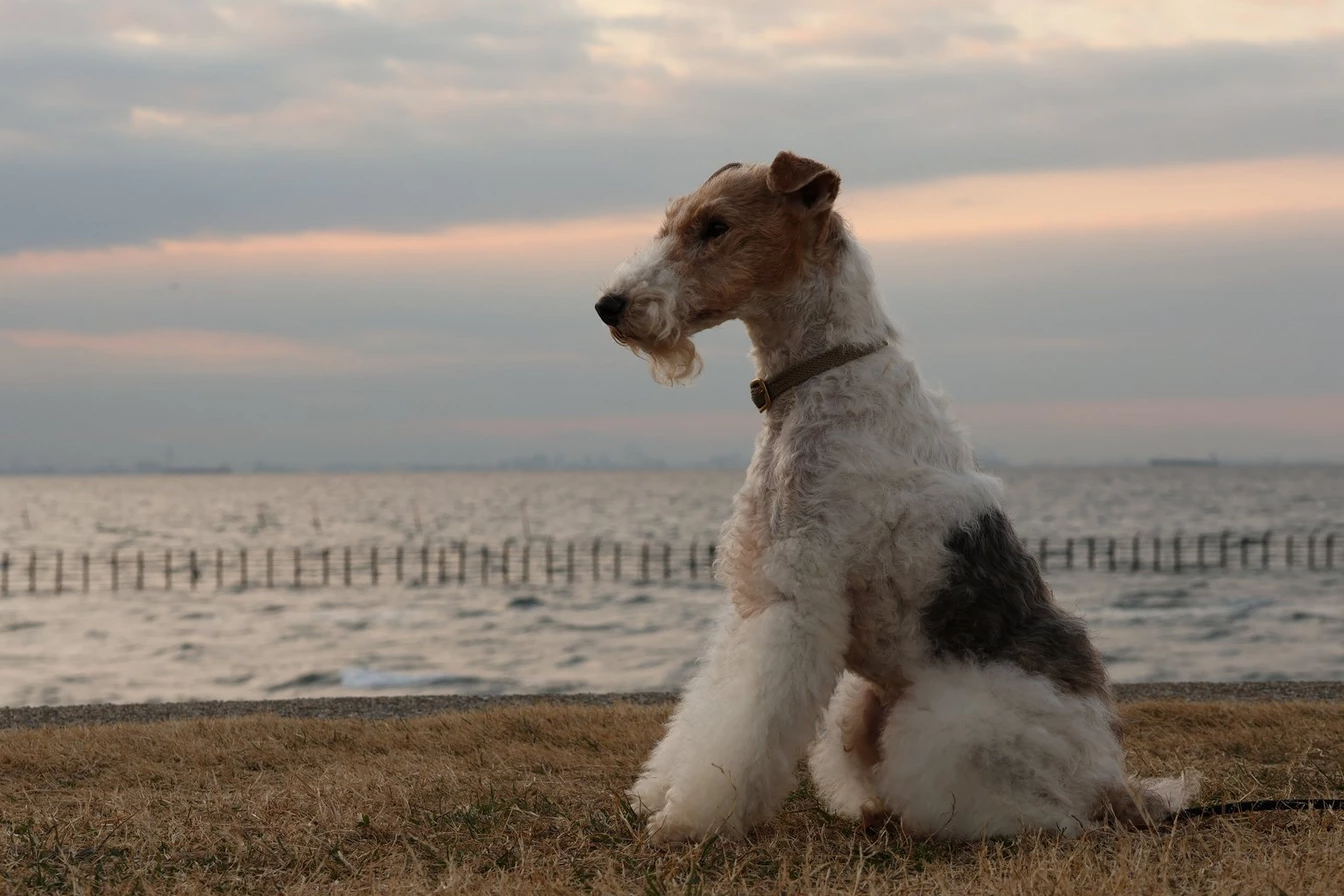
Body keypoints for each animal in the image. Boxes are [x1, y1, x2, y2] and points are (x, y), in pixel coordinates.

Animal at [594, 150, 1193, 843]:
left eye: (715, 227)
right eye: (671, 223)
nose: (609, 305)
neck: (823, 373)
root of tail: (1114, 781)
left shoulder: (796, 595)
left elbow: (745, 724)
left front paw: (688, 819)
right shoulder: (757, 589)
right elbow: (710, 706)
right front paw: (656, 796)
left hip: (957, 722)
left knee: (1047, 812)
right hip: (862, 703)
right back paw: (874, 810)